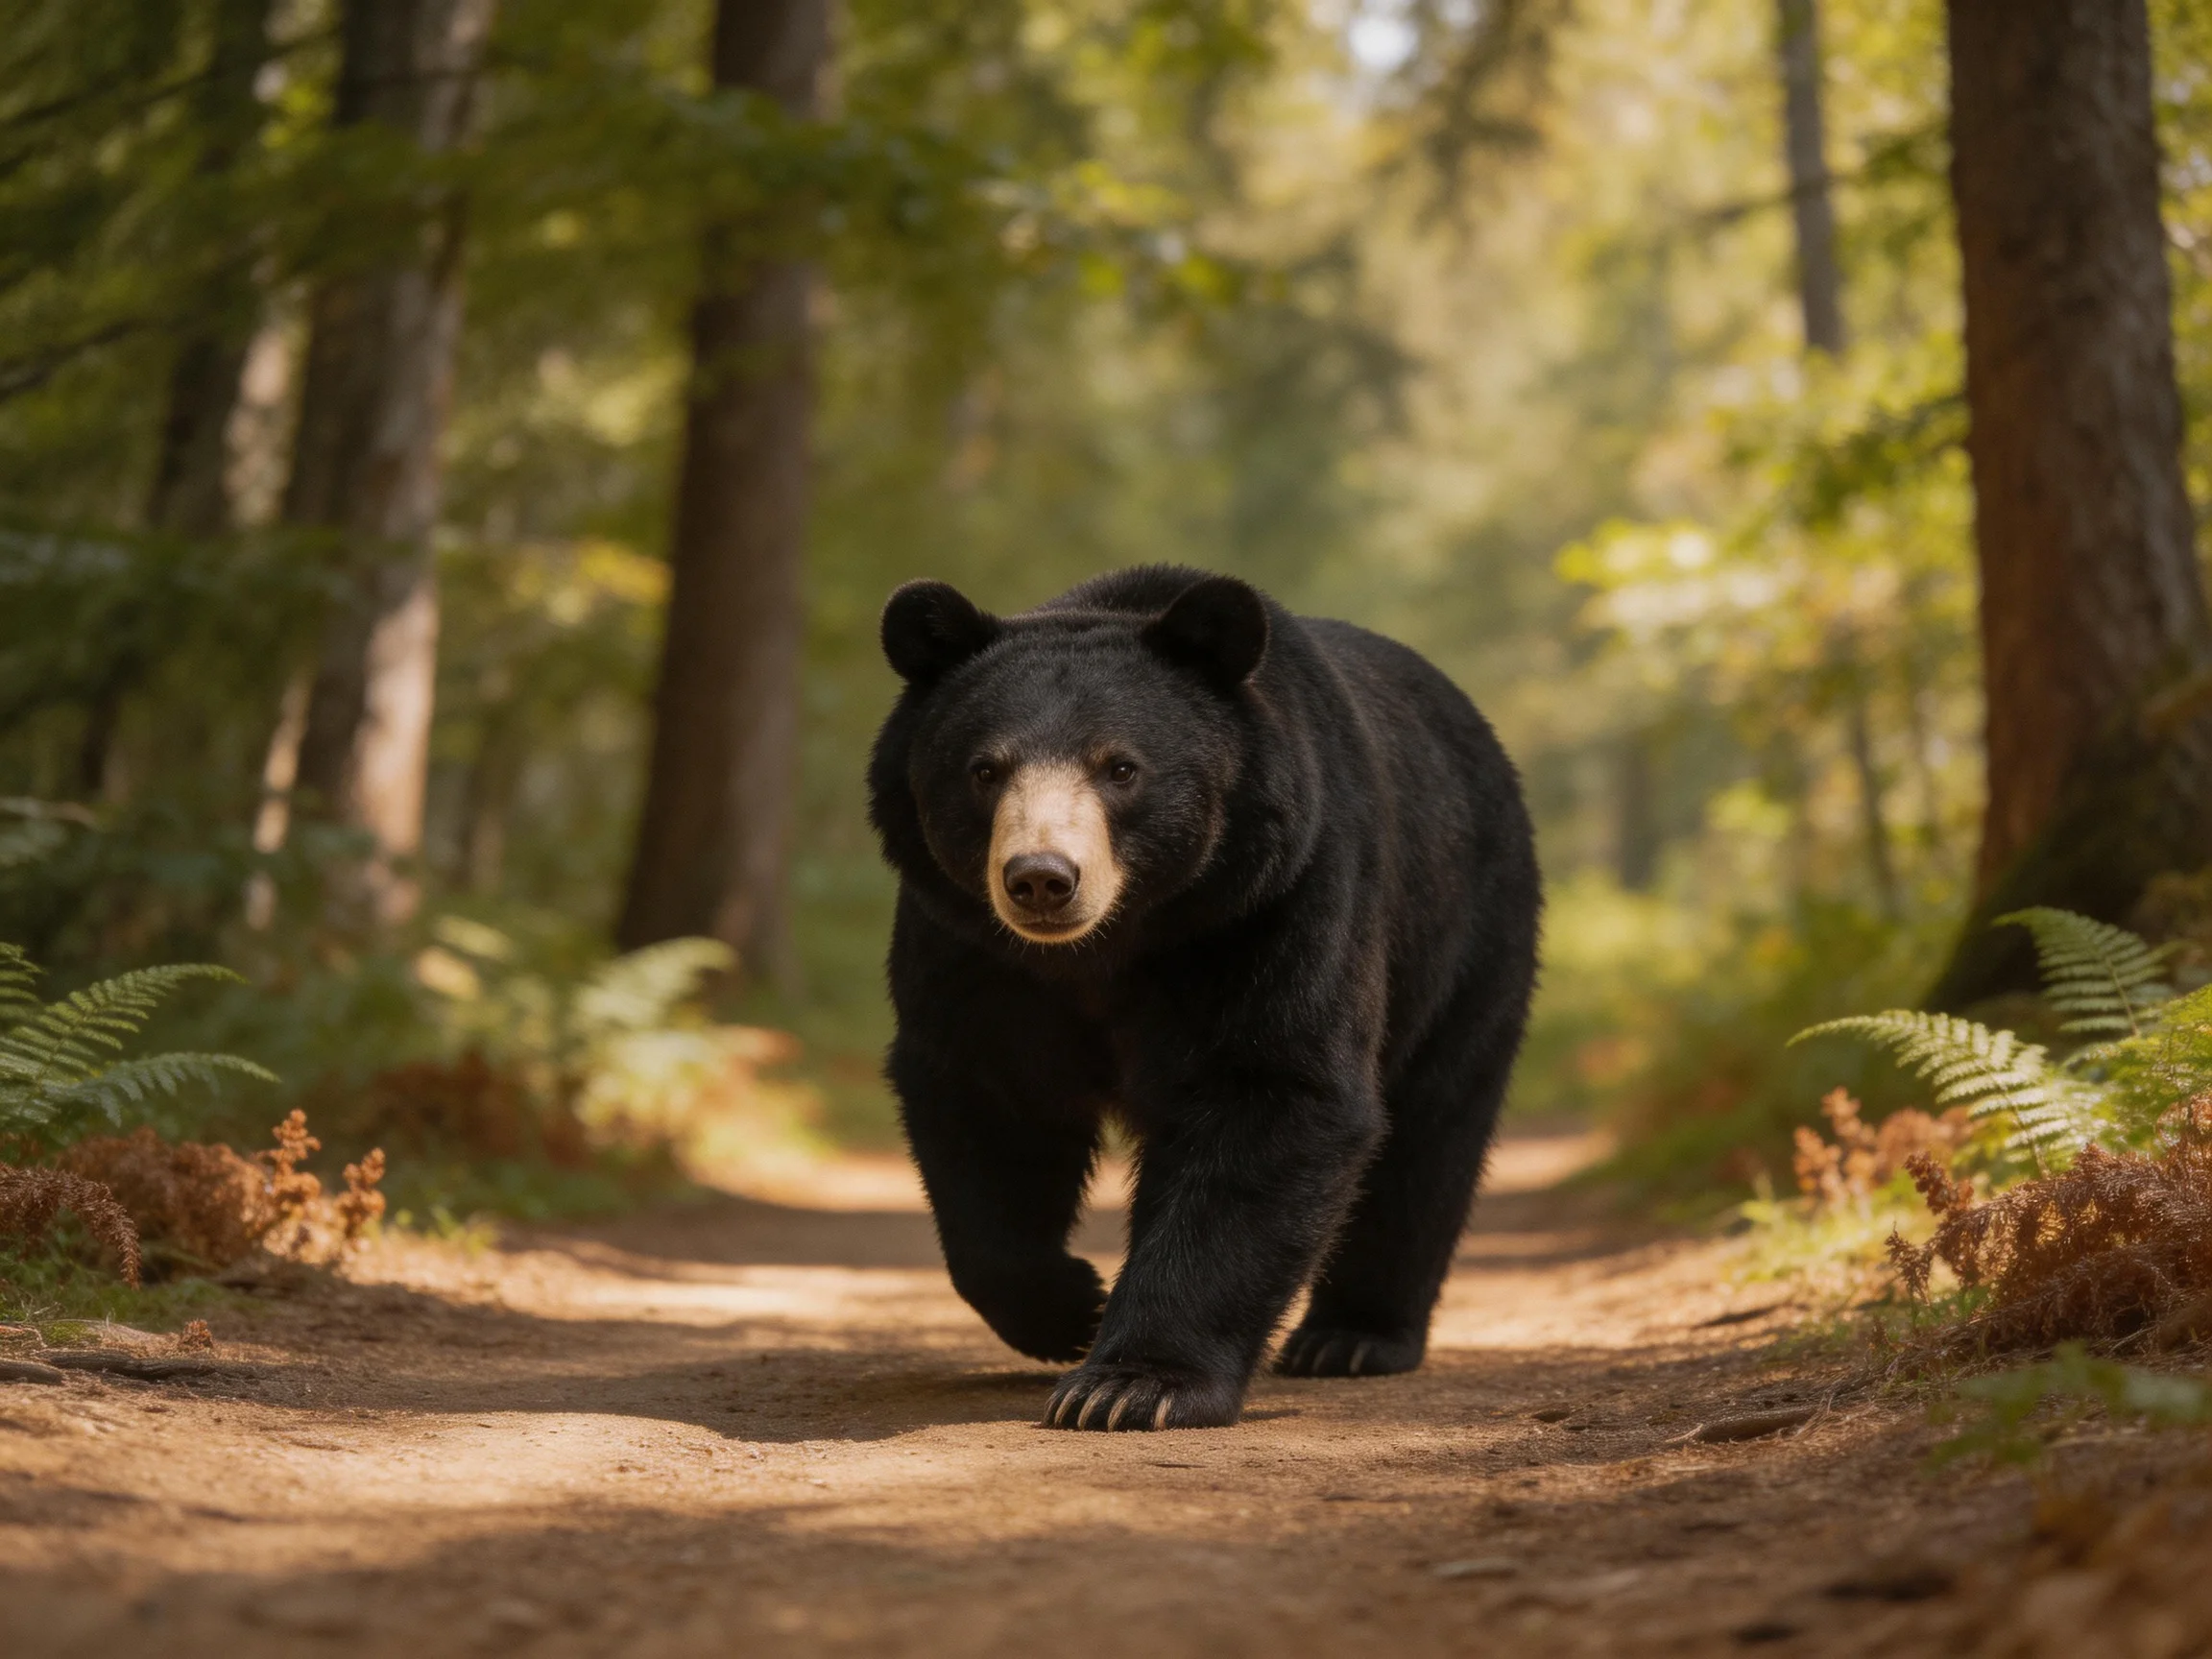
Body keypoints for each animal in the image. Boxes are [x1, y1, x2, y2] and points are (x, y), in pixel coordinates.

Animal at [867, 565, 1540, 1431]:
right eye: (986, 770)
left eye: (1120, 767)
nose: (1042, 879)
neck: (1110, 947)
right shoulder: (969, 945)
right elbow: (986, 1101)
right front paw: (1068, 1305)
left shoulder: (1275, 901)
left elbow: (1270, 1095)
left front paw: (1129, 1385)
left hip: (1465, 934)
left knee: (1433, 1128)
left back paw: (1351, 1338)